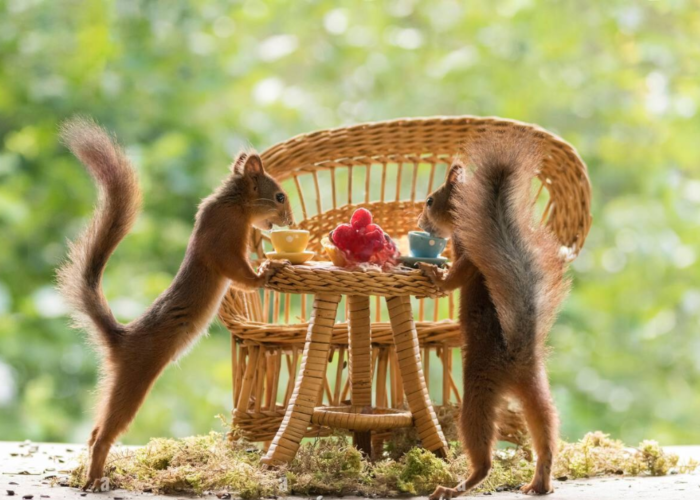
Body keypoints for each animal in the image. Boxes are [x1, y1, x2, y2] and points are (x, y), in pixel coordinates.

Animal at [57, 117, 293, 491]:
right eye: (279, 196)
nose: (290, 220)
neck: (234, 204)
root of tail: (122, 339)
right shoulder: (222, 242)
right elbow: (238, 271)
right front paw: (266, 270)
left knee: (93, 431)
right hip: (133, 378)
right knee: (103, 436)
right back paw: (96, 479)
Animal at [417, 130, 570, 498]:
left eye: (430, 200)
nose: (419, 222)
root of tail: (517, 353)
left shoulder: (468, 252)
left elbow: (456, 277)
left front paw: (433, 274)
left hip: (478, 389)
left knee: (482, 449)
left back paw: (459, 484)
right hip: (535, 386)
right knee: (545, 429)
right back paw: (541, 481)